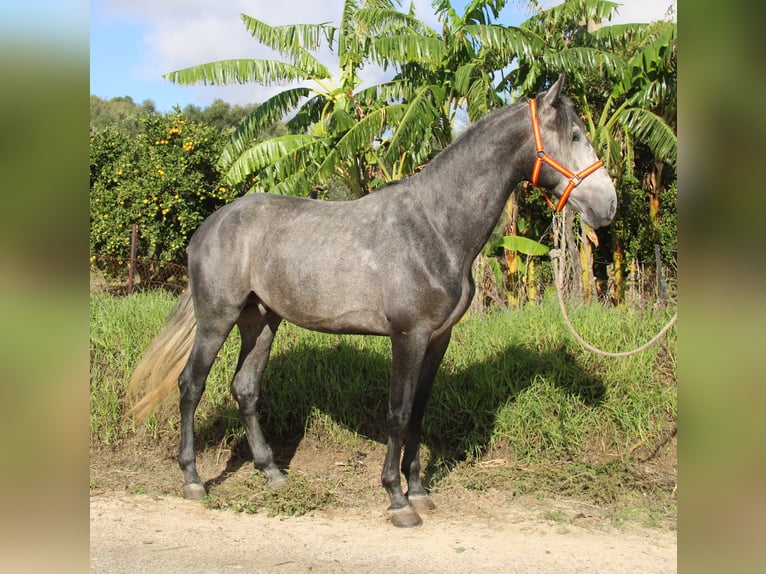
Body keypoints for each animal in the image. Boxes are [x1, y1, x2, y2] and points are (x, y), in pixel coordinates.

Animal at [127, 74, 616, 528]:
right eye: (576, 135)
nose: (607, 205)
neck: (435, 227)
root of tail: (209, 225)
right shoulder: (407, 336)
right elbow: (398, 414)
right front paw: (397, 499)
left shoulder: (436, 339)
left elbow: (419, 412)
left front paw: (419, 490)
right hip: (217, 318)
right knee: (190, 386)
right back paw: (193, 479)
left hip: (261, 321)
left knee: (244, 389)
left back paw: (273, 472)